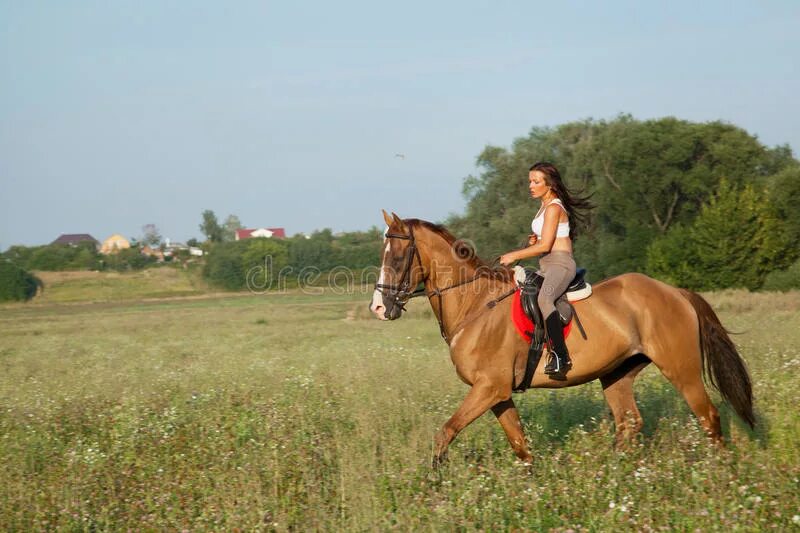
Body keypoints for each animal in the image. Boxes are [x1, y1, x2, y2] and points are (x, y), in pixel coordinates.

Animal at [370, 210, 756, 464]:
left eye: (399, 256)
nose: (378, 307)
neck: (474, 304)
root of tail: (675, 292)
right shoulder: (496, 393)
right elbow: (521, 446)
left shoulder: (489, 388)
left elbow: (445, 433)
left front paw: (434, 485)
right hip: (617, 374)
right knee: (628, 423)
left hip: (681, 368)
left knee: (708, 417)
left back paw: (721, 475)